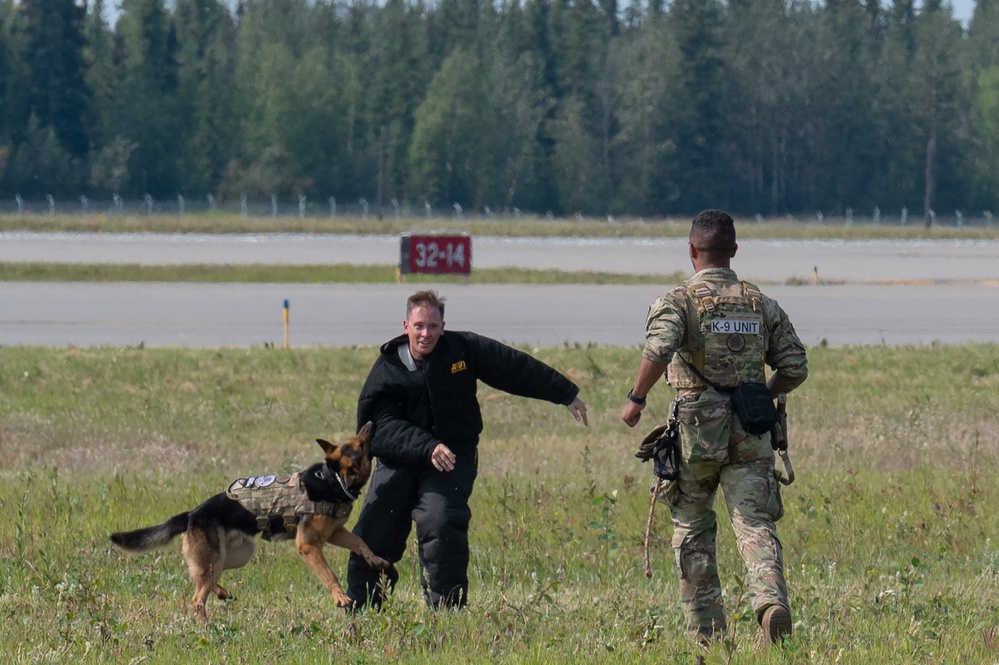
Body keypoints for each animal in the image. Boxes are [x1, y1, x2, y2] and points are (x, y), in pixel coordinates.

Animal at [109, 420, 390, 616]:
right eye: (359, 444)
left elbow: (360, 542)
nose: (370, 423)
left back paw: (221, 593)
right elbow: (329, 573)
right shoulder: (309, 546)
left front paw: (376, 560)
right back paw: (206, 625)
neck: (333, 479)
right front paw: (340, 597)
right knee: (198, 597)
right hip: (219, 557)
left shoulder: (335, 533)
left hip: (234, 555)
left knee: (201, 577)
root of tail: (192, 514)